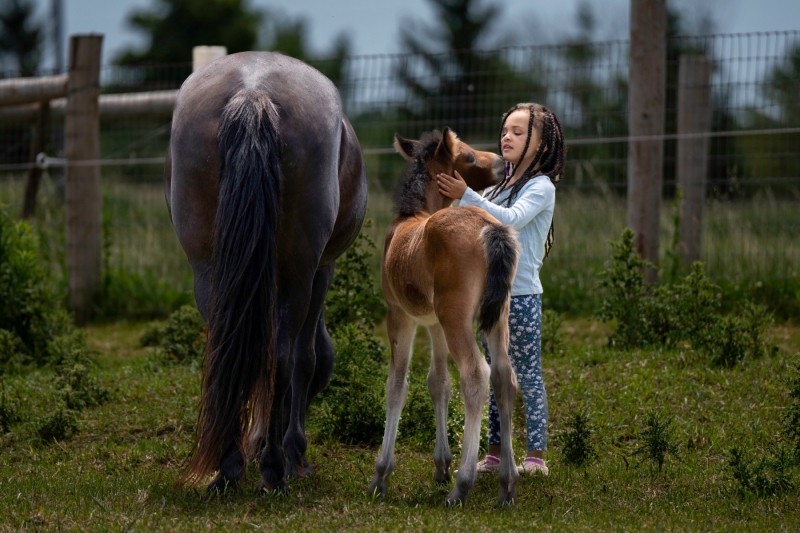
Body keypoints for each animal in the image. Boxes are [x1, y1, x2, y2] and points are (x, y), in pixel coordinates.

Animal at [165, 51, 367, 492]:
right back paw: (275, 468)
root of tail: (252, 92)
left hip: (208, 272)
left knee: (226, 350)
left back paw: (227, 467)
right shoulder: (320, 272)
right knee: (287, 357)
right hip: (298, 274)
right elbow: (308, 358)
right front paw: (294, 455)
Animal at [368, 128, 521, 505]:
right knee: (504, 377)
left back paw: (462, 485)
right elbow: (438, 383)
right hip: (495, 316)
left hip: (457, 318)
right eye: (469, 156)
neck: (413, 217)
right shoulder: (433, 323)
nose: (501, 162)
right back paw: (507, 484)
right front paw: (440, 465)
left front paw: (381, 475)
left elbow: (397, 384)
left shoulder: (400, 315)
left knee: (476, 375)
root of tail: (490, 228)